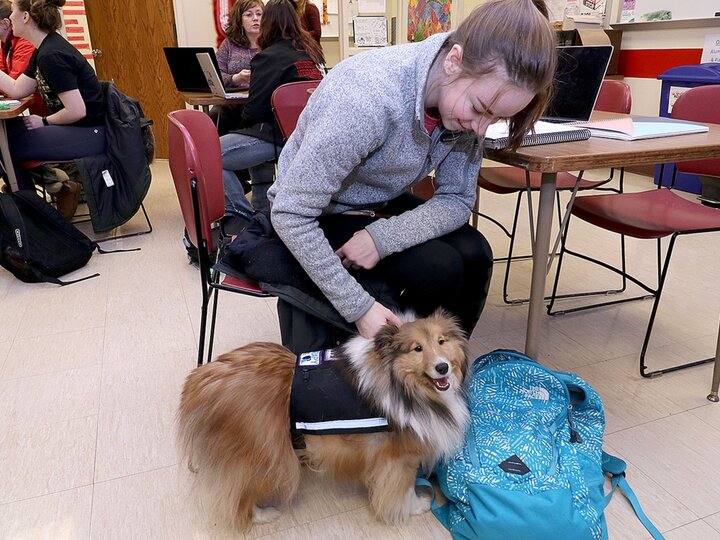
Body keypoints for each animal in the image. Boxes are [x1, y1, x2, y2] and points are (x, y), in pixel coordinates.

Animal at [176, 310, 470, 528]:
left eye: (441, 341)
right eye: (417, 348)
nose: (442, 367)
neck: (402, 384)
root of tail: (197, 382)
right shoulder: (399, 459)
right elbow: (402, 490)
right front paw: (416, 506)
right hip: (268, 457)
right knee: (239, 496)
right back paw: (264, 515)